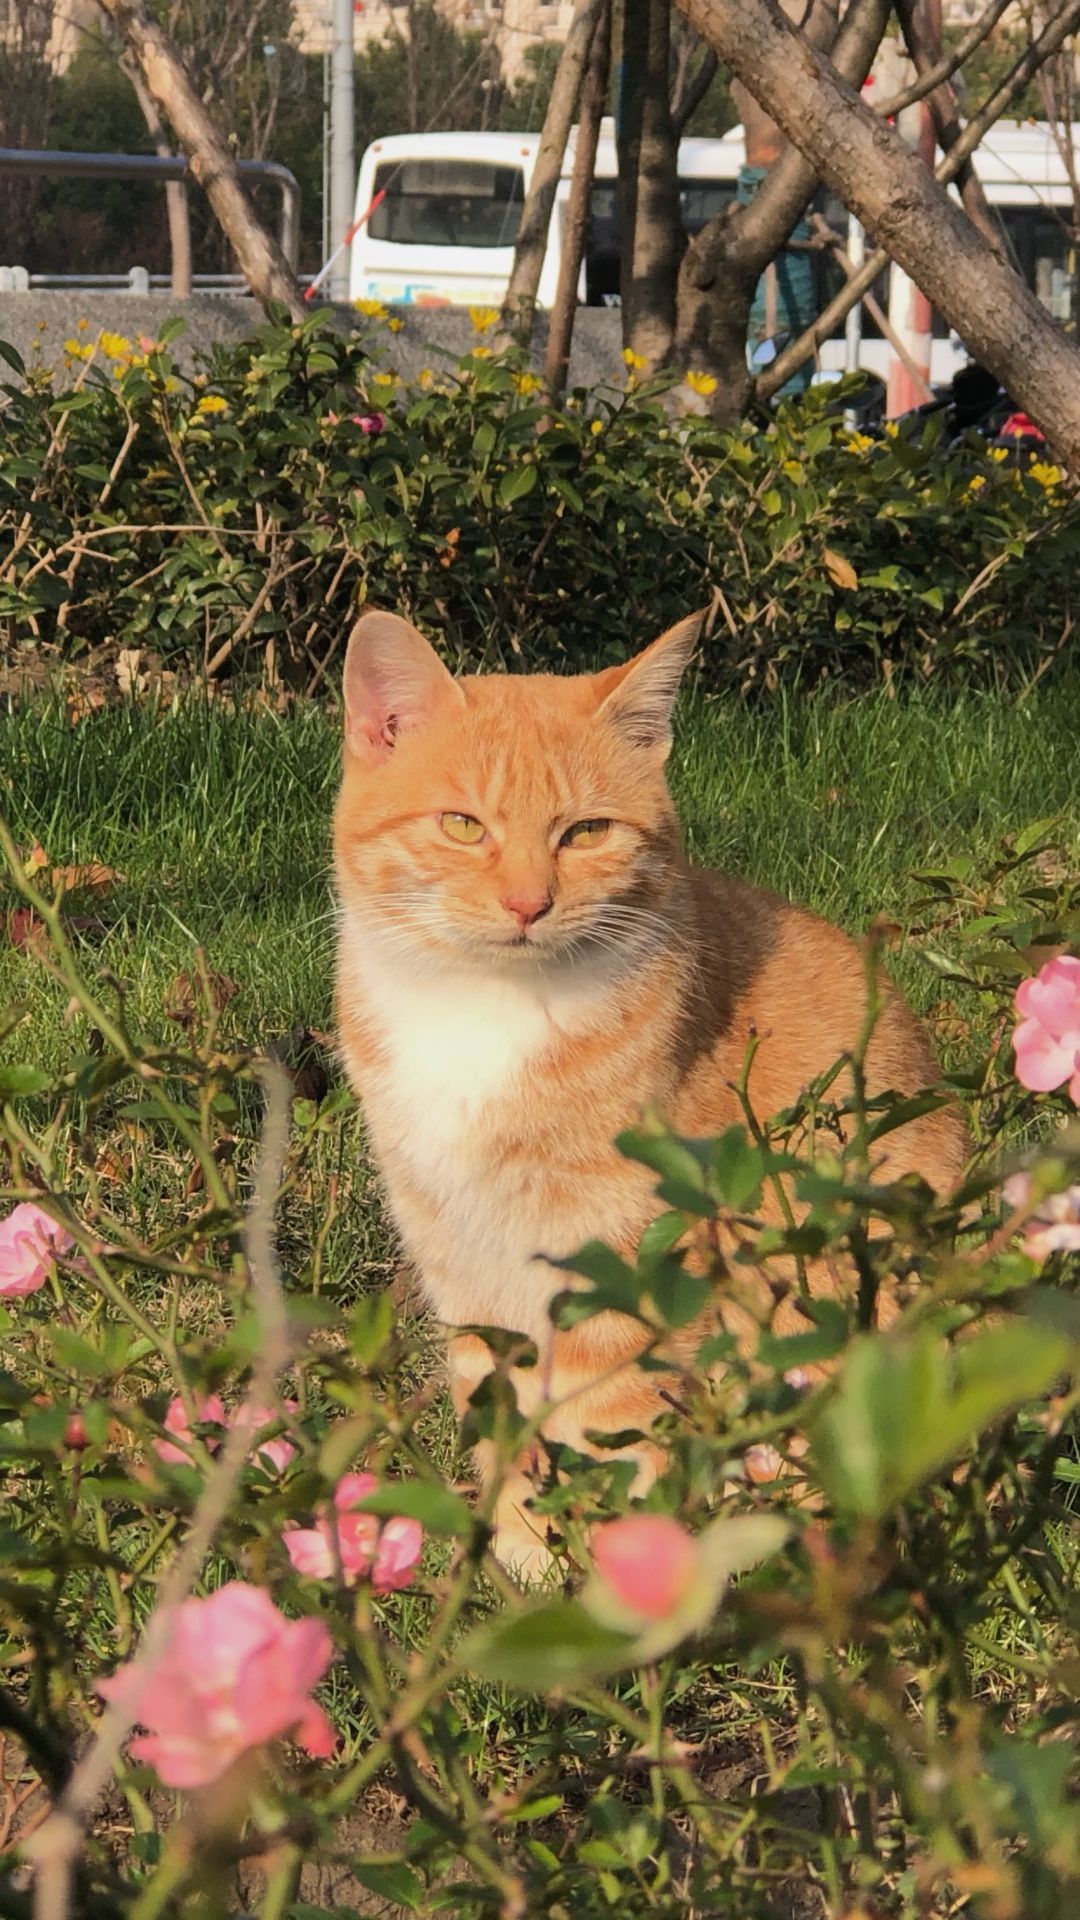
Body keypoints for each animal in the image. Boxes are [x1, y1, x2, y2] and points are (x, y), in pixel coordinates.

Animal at [332, 606, 960, 1566]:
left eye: (587, 833)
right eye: (463, 825)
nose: (528, 905)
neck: (486, 1010)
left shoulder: (621, 1262)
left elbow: (607, 1430)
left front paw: (605, 1567)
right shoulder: (461, 1251)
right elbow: (498, 1402)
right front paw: (519, 1542)